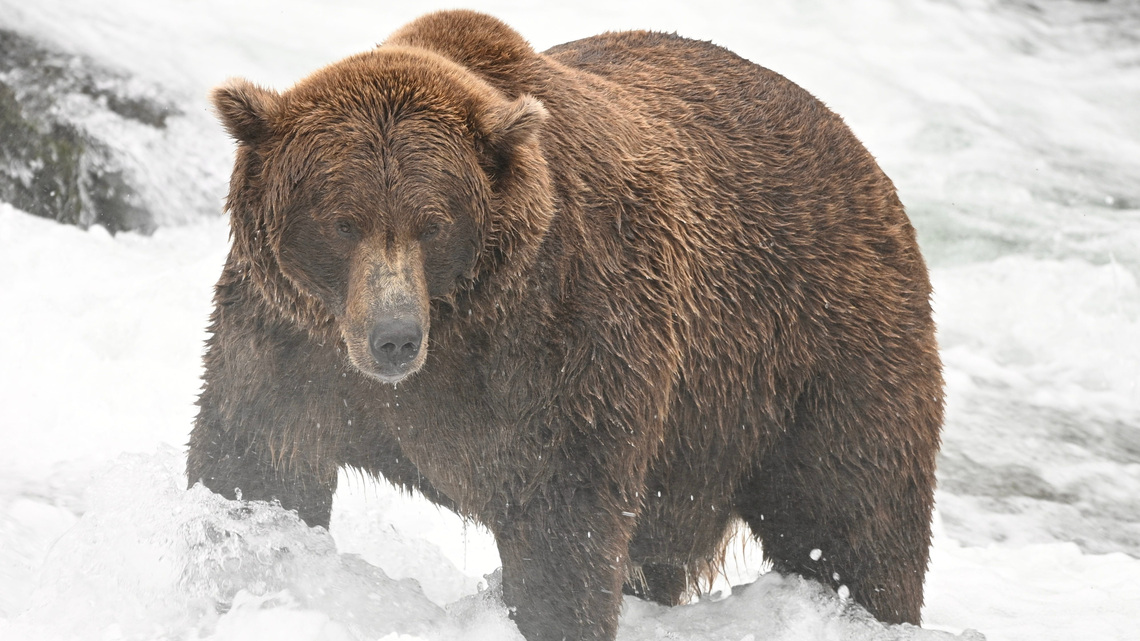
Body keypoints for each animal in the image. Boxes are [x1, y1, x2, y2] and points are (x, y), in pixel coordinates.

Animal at [187, 10, 943, 641]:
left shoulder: (562, 337)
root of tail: (863, 158)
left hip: (815, 354)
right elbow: (257, 463)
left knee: (853, 520)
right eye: (342, 220)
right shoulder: (290, 342)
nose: (394, 338)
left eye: (433, 223)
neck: (458, 325)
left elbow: (561, 523)